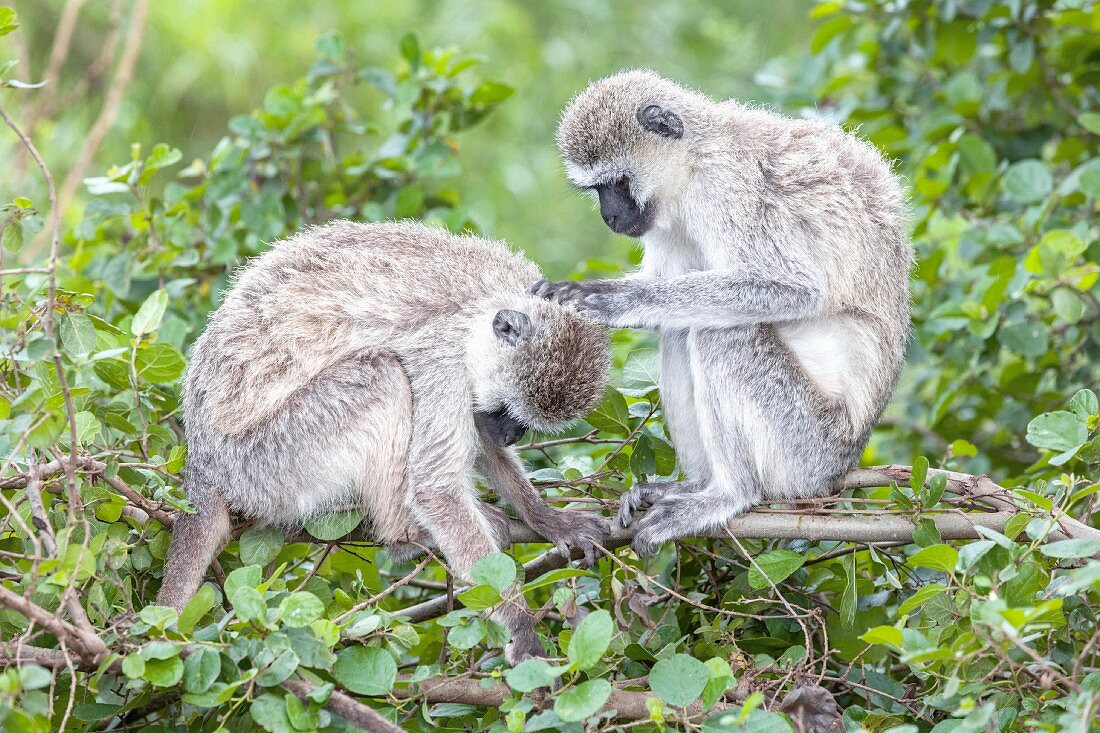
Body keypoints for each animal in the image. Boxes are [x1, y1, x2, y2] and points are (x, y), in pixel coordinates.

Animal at [157, 220, 611, 660]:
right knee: (384, 373)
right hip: (268, 460)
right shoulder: (443, 356)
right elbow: (436, 489)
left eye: (523, 424)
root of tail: (203, 466)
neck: (485, 301)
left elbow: (478, 442)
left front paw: (548, 519)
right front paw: (519, 626)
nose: (512, 434)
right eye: (509, 411)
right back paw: (405, 536)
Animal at [532, 72, 910, 554]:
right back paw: (692, 485)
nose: (610, 217)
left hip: (805, 447)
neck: (695, 159)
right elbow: (667, 282)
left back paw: (729, 494)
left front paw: (611, 300)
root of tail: (840, 469)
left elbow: (794, 289)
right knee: (683, 328)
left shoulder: (729, 189)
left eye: (617, 182)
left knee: (720, 333)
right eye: (597, 189)